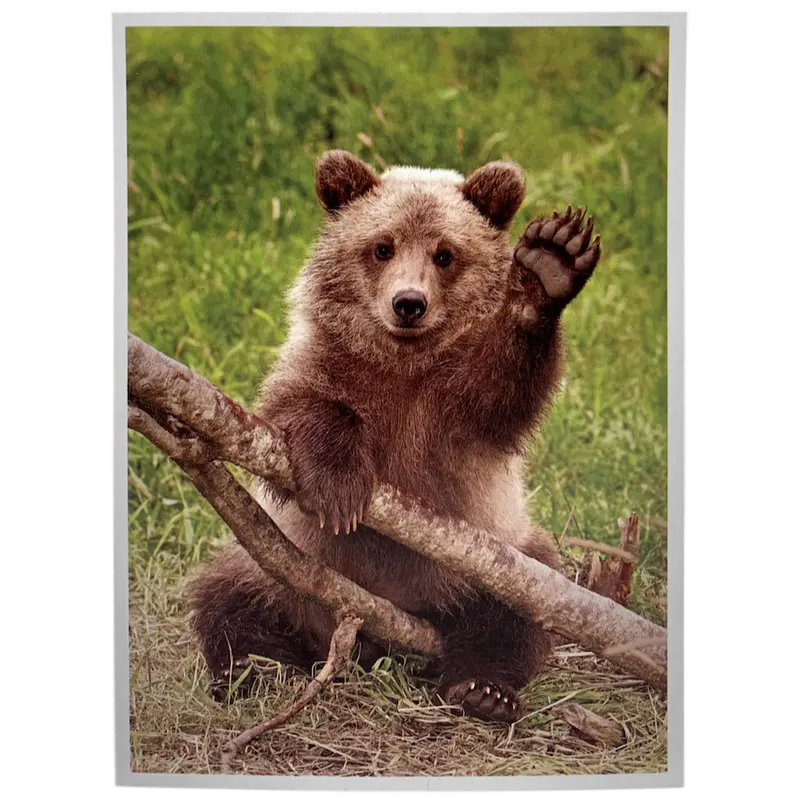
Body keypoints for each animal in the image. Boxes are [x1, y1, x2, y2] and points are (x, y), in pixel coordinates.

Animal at [187, 150, 601, 723]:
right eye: (382, 246)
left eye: (445, 254)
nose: (409, 303)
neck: (403, 364)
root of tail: (376, 633)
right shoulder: (325, 361)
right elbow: (295, 410)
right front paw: (338, 489)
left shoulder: (454, 407)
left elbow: (502, 391)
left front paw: (548, 264)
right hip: (279, 562)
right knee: (230, 599)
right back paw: (255, 672)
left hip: (492, 555)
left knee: (517, 607)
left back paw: (483, 689)